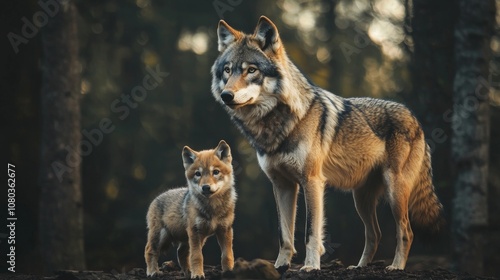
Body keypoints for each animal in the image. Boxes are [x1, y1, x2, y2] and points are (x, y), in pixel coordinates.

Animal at [210, 16, 442, 272]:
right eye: (228, 70)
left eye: (251, 70)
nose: (227, 95)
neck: (278, 124)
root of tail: (415, 118)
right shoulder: (282, 185)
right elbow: (284, 234)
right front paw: (280, 266)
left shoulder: (312, 181)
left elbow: (310, 232)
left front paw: (310, 266)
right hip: (361, 199)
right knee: (375, 234)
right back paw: (359, 267)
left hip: (395, 192)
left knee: (406, 231)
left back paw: (396, 267)